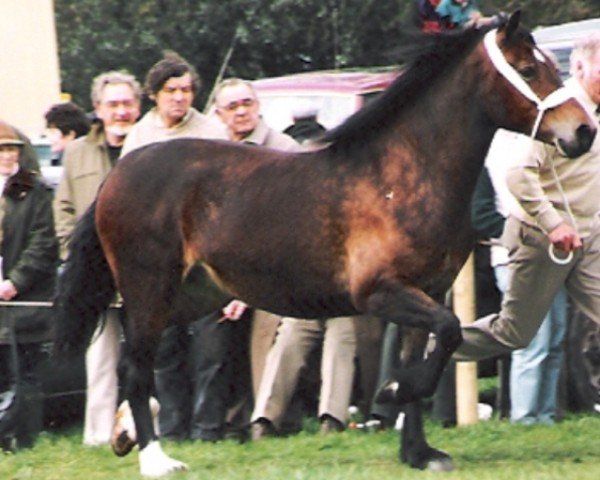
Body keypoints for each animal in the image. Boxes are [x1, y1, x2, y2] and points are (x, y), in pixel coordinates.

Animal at [55, 11, 596, 476]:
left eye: (551, 66)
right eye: (528, 69)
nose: (583, 131)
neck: (402, 175)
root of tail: (119, 171)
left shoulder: (428, 290)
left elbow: (433, 347)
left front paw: (419, 452)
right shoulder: (379, 292)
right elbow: (444, 336)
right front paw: (391, 394)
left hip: (194, 295)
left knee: (134, 365)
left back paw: (123, 436)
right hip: (150, 290)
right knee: (136, 365)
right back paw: (155, 458)